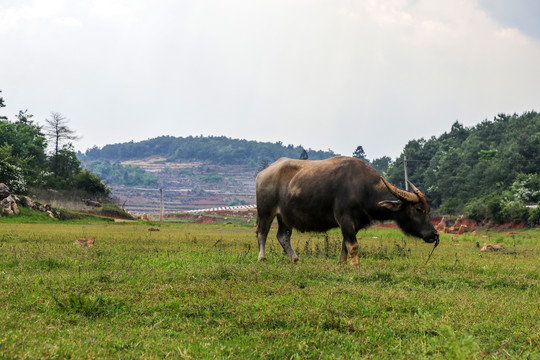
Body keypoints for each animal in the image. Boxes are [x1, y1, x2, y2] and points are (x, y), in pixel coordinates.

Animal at [256, 157, 438, 264]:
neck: (364, 189)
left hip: (284, 216)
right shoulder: (346, 220)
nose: (434, 234)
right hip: (266, 212)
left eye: (428, 210)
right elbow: (354, 246)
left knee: (283, 236)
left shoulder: (353, 225)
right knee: (262, 232)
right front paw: (355, 266)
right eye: (419, 210)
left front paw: (341, 264)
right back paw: (262, 258)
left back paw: (295, 259)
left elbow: (345, 245)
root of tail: (263, 174)